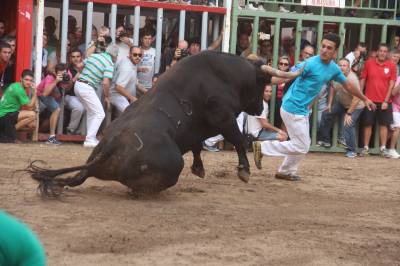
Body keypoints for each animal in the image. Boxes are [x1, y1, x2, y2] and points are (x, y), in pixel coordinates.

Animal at [26, 51, 274, 194]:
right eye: (263, 83)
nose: (260, 108)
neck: (224, 74)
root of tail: (111, 145)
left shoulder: (199, 128)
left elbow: (197, 145)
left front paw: (199, 168)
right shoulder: (223, 116)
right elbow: (238, 139)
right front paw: (244, 170)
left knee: (77, 179)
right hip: (173, 163)